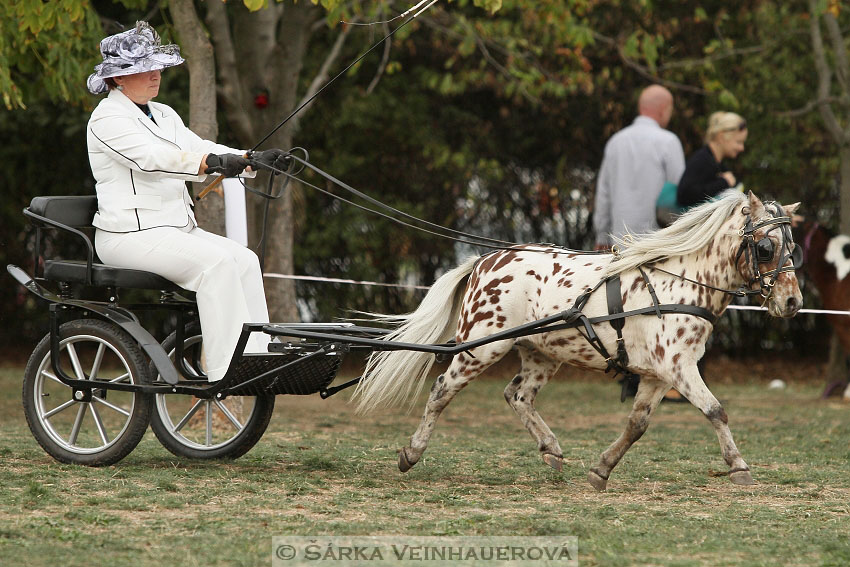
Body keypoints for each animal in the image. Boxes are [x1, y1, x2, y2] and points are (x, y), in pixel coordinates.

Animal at [352, 192, 800, 492]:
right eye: (766, 247)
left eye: (792, 246)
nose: (793, 302)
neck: (679, 283)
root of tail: (484, 261)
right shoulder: (678, 367)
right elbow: (715, 411)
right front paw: (739, 468)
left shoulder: (659, 376)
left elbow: (637, 425)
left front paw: (601, 470)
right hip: (480, 347)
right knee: (442, 390)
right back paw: (412, 453)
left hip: (541, 354)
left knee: (517, 396)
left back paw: (550, 448)